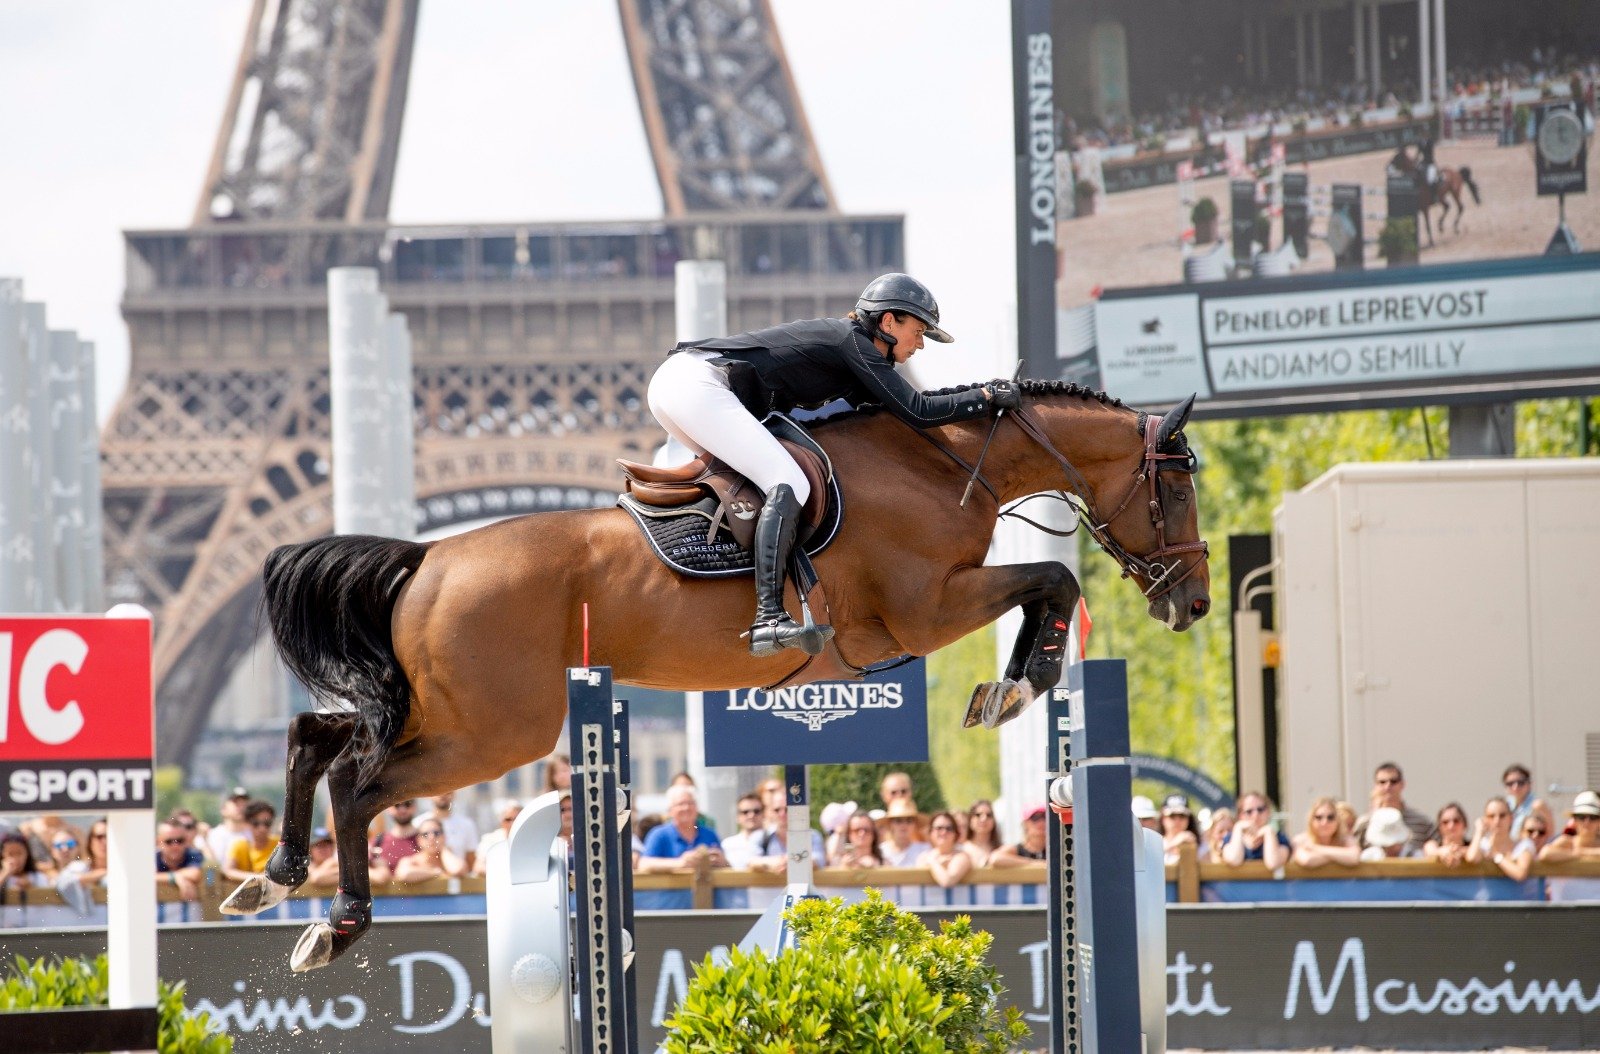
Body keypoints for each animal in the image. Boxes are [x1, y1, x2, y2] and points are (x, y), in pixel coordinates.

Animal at [221, 380, 1213, 972]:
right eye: (1177, 486)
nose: (1195, 603)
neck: (941, 464)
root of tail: (426, 559)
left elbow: (1049, 583)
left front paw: (1011, 683)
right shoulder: (927, 608)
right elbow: (1053, 578)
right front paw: (1018, 684)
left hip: (445, 713)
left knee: (314, 735)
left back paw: (273, 876)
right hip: (494, 732)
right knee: (359, 781)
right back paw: (336, 924)